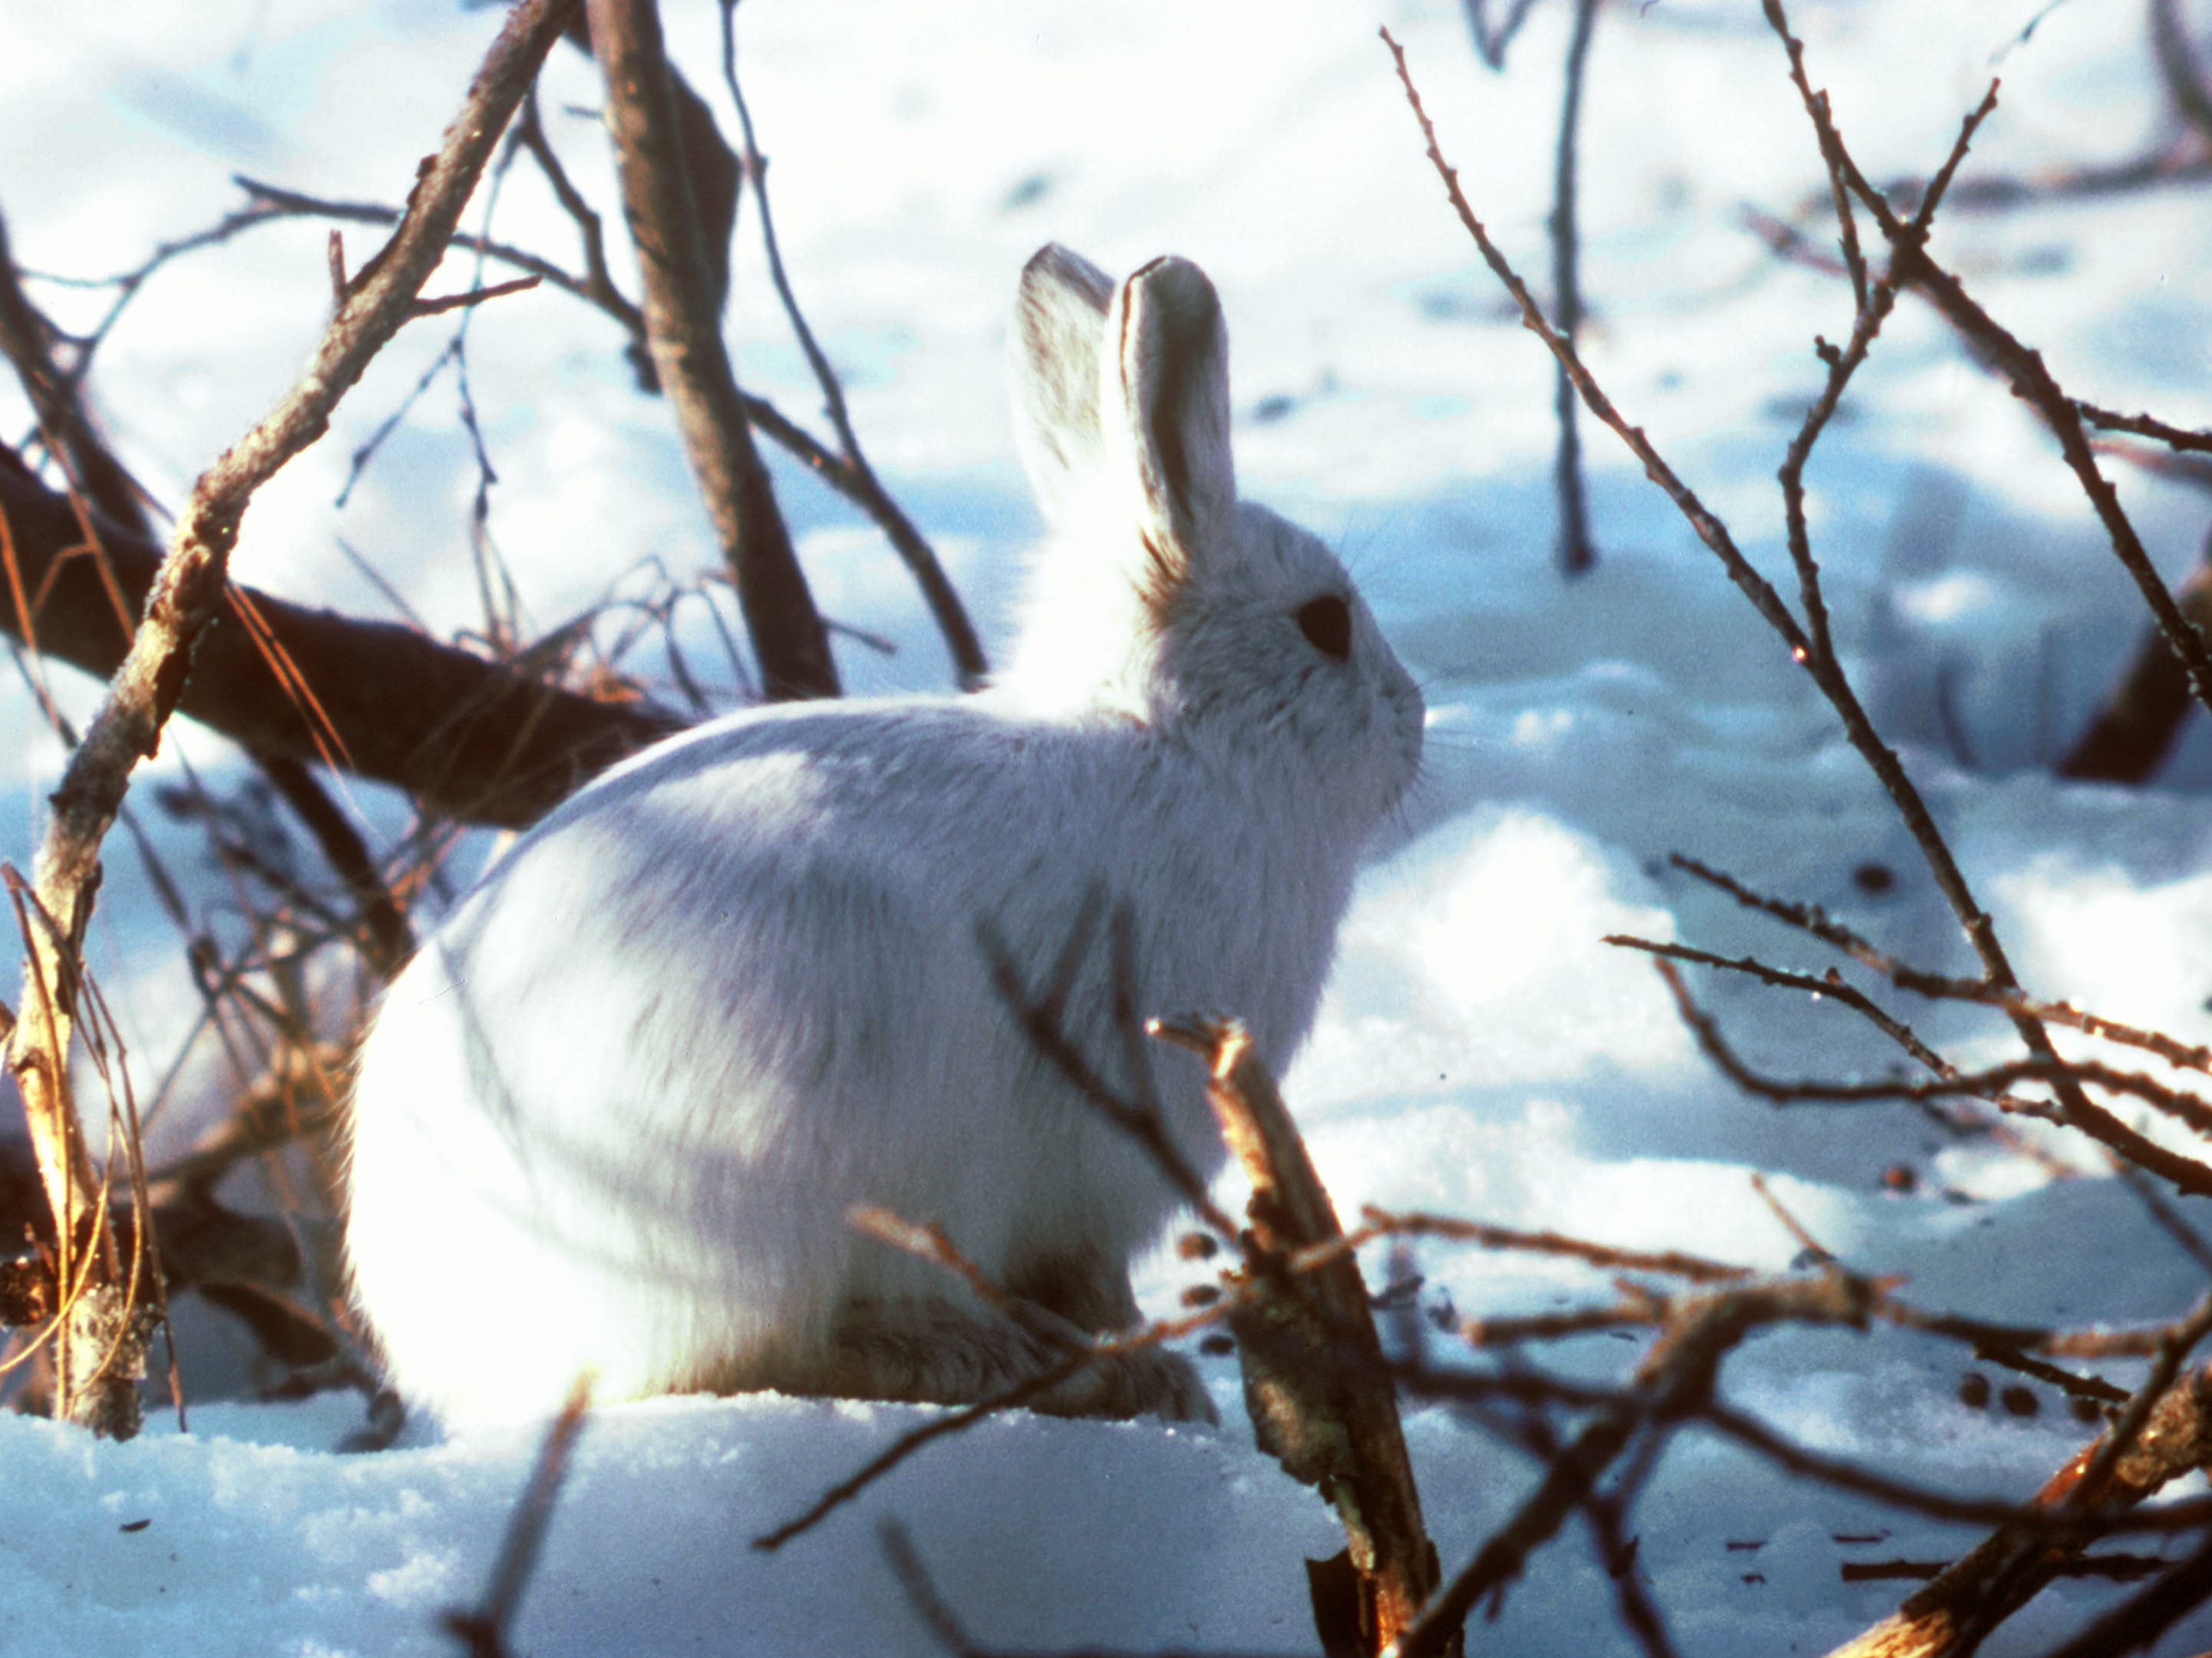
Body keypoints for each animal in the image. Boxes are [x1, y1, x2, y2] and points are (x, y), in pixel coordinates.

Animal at [341, 245, 1425, 1427]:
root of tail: (471, 1343)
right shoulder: (1103, 1158)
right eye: (1324, 623)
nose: (1414, 721)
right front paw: (1157, 1370)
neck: (1173, 743)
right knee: (746, 1361)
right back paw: (993, 1359)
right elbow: (1098, 1278)